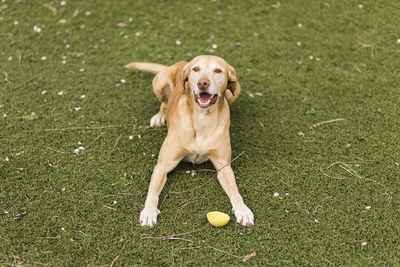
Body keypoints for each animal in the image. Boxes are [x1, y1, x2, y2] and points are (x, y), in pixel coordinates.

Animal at [126, 55, 255, 227]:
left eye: (218, 70)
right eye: (196, 69)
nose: (203, 83)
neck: (202, 119)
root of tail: (182, 63)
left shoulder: (224, 166)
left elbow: (235, 190)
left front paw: (242, 210)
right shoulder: (162, 165)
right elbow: (152, 191)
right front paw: (149, 211)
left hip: (236, 91)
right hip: (159, 83)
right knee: (164, 104)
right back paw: (159, 117)